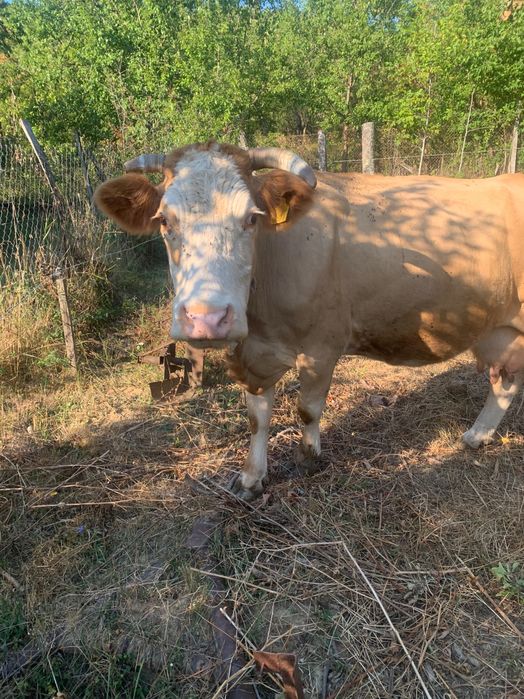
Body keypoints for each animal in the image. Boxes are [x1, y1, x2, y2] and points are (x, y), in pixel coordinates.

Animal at [94, 141, 524, 500]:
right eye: (165, 221)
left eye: (252, 218)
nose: (207, 319)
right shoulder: (256, 354)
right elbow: (256, 417)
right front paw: (251, 476)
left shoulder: (322, 347)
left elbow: (307, 409)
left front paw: (308, 458)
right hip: (500, 333)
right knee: (504, 384)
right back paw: (476, 436)